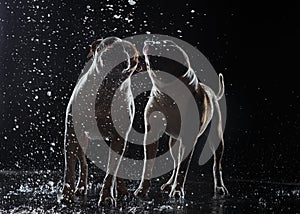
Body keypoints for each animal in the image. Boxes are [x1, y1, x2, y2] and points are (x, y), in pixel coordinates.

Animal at [62, 36, 139, 206]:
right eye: (108, 47)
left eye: (132, 54)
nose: (122, 61)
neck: (105, 91)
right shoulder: (71, 134)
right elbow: (69, 167)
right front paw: (67, 195)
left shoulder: (119, 138)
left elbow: (111, 172)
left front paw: (106, 197)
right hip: (81, 140)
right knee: (83, 163)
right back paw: (81, 187)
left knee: (118, 167)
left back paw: (121, 190)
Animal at [135, 40, 229, 199]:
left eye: (167, 47)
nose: (149, 41)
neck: (169, 94)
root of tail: (212, 93)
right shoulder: (151, 135)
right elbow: (148, 165)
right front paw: (143, 189)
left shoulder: (189, 140)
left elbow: (183, 169)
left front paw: (178, 190)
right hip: (174, 143)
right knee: (176, 162)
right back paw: (169, 184)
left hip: (216, 139)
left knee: (216, 165)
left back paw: (219, 187)